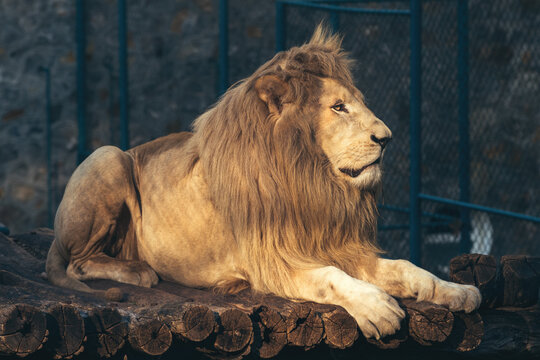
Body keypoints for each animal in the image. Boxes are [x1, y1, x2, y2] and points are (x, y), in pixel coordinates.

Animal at [45, 26, 476, 338]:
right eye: (338, 107)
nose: (386, 138)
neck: (312, 180)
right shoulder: (272, 263)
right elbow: (330, 278)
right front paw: (377, 307)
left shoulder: (338, 245)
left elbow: (407, 267)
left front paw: (456, 291)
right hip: (108, 156)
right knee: (79, 263)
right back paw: (138, 271)